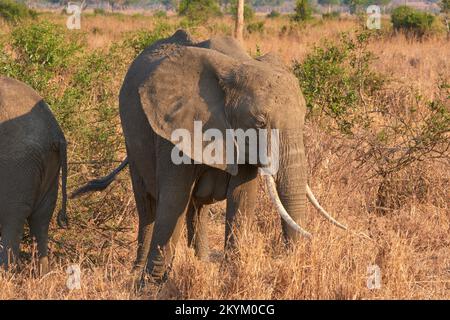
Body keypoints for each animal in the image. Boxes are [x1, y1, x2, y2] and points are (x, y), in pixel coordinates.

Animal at [0, 76, 67, 274]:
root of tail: (56, 133)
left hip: (18, 165)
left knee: (12, 218)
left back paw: (6, 273)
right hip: (49, 168)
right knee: (41, 220)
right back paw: (43, 275)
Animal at [72, 28, 346, 282]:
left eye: (304, 117)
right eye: (259, 122)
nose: (297, 258)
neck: (234, 67)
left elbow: (242, 197)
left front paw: (230, 273)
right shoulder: (175, 127)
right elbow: (174, 198)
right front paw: (150, 285)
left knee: (197, 206)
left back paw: (201, 262)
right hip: (132, 136)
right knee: (148, 204)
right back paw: (137, 271)